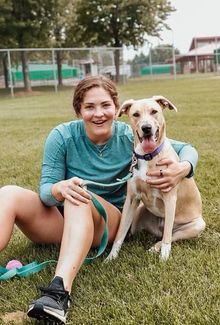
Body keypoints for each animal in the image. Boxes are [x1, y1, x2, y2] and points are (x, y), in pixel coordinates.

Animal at [106, 95, 206, 260]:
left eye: (154, 111)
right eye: (136, 114)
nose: (146, 128)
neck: (148, 156)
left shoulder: (170, 198)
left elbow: (167, 238)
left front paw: (164, 258)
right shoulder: (132, 199)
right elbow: (120, 233)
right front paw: (111, 258)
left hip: (197, 225)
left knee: (168, 235)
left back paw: (155, 248)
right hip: (139, 212)